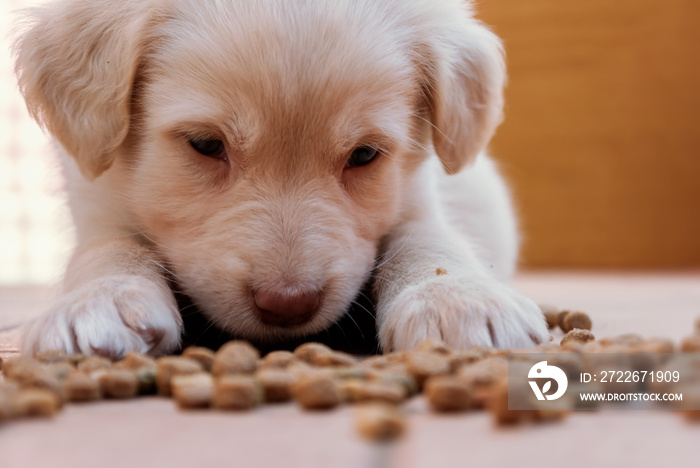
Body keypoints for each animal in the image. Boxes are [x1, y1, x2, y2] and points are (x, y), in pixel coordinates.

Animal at [15, 0, 548, 358]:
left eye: (364, 155)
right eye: (206, 144)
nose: (289, 306)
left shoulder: (417, 196)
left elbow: (428, 239)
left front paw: (458, 299)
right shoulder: (97, 199)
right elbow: (110, 247)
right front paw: (100, 300)